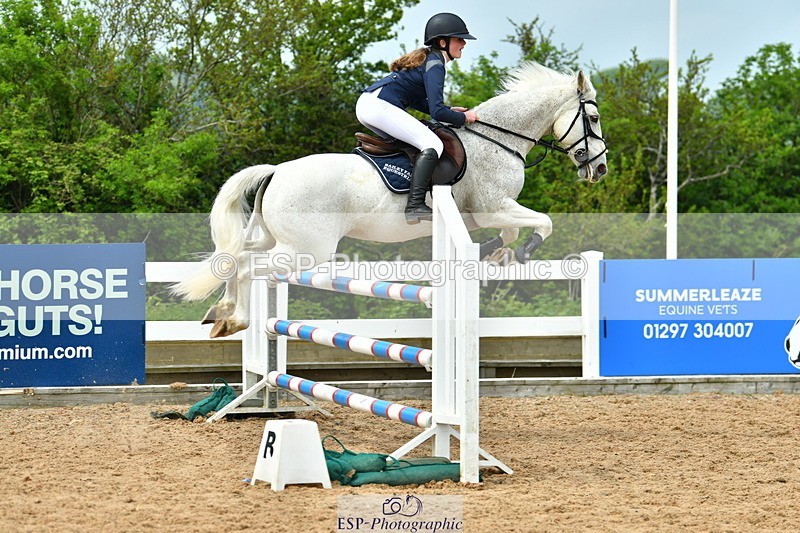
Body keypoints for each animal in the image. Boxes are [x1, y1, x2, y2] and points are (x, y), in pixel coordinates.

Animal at [172, 62, 608, 338]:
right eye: (594, 118)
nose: (600, 168)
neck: (499, 139)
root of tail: (277, 171)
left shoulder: (486, 215)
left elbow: (509, 234)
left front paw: (496, 254)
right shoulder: (493, 208)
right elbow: (542, 223)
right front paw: (520, 254)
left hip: (273, 237)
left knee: (237, 259)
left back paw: (221, 314)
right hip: (306, 249)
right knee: (249, 266)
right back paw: (237, 319)